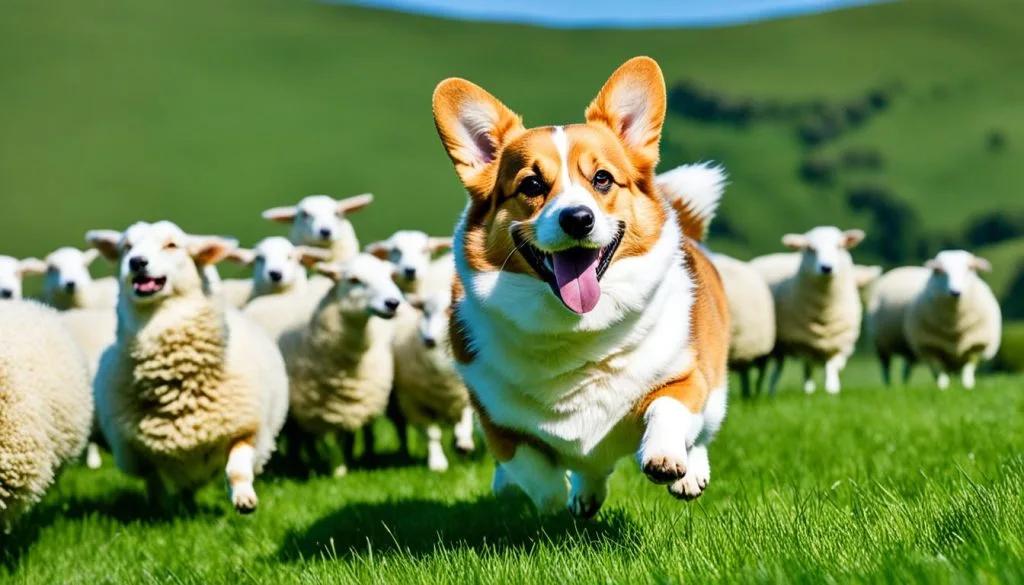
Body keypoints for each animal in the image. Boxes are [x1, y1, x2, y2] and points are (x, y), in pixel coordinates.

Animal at [86, 220, 289, 514]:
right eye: (126, 246)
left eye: (172, 245)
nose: (137, 262)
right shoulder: (140, 453)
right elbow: (155, 484)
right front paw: (161, 513)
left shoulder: (247, 430)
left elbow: (237, 469)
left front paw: (243, 499)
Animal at [279, 253, 403, 477]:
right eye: (354, 280)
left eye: (390, 276)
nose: (393, 303)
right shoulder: (316, 409)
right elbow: (328, 442)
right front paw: (337, 472)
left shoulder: (351, 405)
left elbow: (344, 437)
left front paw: (344, 466)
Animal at [391, 289, 475, 472]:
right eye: (425, 311)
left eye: (449, 309)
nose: (429, 339)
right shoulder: (413, 404)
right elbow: (432, 435)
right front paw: (437, 463)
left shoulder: (465, 395)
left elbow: (465, 423)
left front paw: (464, 444)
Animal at [765, 226, 867, 395]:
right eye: (811, 248)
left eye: (839, 246)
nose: (826, 268)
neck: (825, 312)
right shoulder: (804, 342)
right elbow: (808, 367)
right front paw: (813, 390)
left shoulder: (837, 341)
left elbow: (831, 367)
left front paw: (832, 390)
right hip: (779, 345)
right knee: (781, 368)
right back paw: (774, 391)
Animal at [904, 250, 1001, 390]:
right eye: (940, 270)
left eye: (970, 268)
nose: (955, 292)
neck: (956, 324)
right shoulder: (929, 346)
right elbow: (939, 369)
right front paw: (942, 387)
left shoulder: (976, 344)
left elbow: (969, 367)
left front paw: (967, 386)